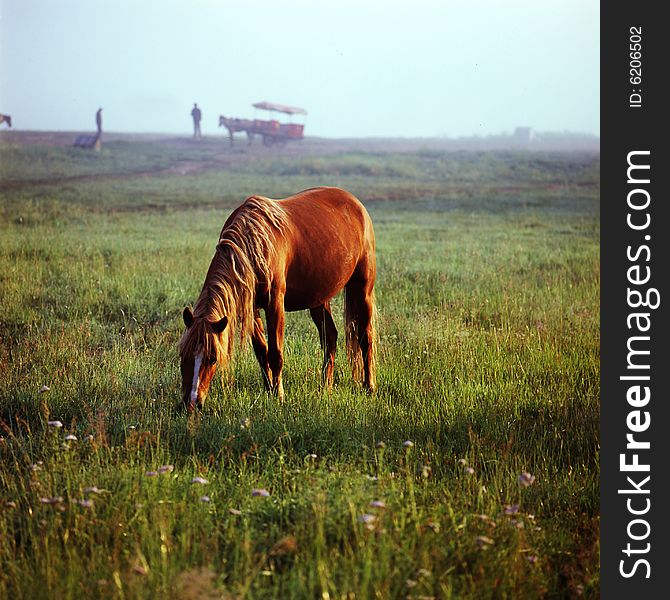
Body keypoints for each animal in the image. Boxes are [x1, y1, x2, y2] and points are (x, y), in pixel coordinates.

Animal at [178, 186, 378, 412]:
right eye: (183, 355)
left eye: (212, 359)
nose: (191, 403)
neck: (254, 243)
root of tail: (355, 202)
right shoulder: (251, 307)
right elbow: (261, 350)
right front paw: (269, 390)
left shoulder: (275, 304)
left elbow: (276, 353)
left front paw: (279, 395)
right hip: (319, 300)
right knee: (330, 337)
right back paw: (325, 387)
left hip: (362, 289)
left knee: (365, 338)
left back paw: (369, 387)